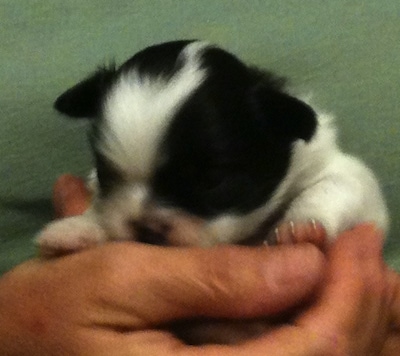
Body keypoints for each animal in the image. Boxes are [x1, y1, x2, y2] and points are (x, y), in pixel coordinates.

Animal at [36, 40, 388, 344]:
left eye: (211, 182)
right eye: (106, 174)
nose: (145, 228)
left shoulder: (349, 178)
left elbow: (332, 186)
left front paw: (300, 225)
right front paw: (77, 229)